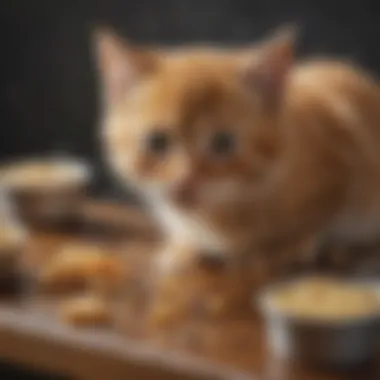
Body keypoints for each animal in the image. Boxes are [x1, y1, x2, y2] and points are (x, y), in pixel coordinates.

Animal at [93, 26, 380, 274]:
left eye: (223, 143)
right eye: (157, 142)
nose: (184, 183)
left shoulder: (344, 173)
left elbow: (309, 223)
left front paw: (276, 251)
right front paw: (183, 249)